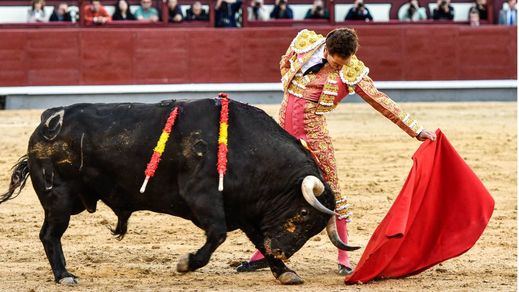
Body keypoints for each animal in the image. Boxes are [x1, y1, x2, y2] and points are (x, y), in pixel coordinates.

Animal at [1, 98, 358, 286]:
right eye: (303, 212)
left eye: (314, 230)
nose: (281, 251)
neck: (247, 147)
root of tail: (46, 122)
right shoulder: (202, 198)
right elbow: (217, 235)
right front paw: (187, 263)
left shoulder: (247, 210)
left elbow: (256, 239)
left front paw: (284, 272)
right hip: (59, 199)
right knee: (50, 235)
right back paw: (64, 276)